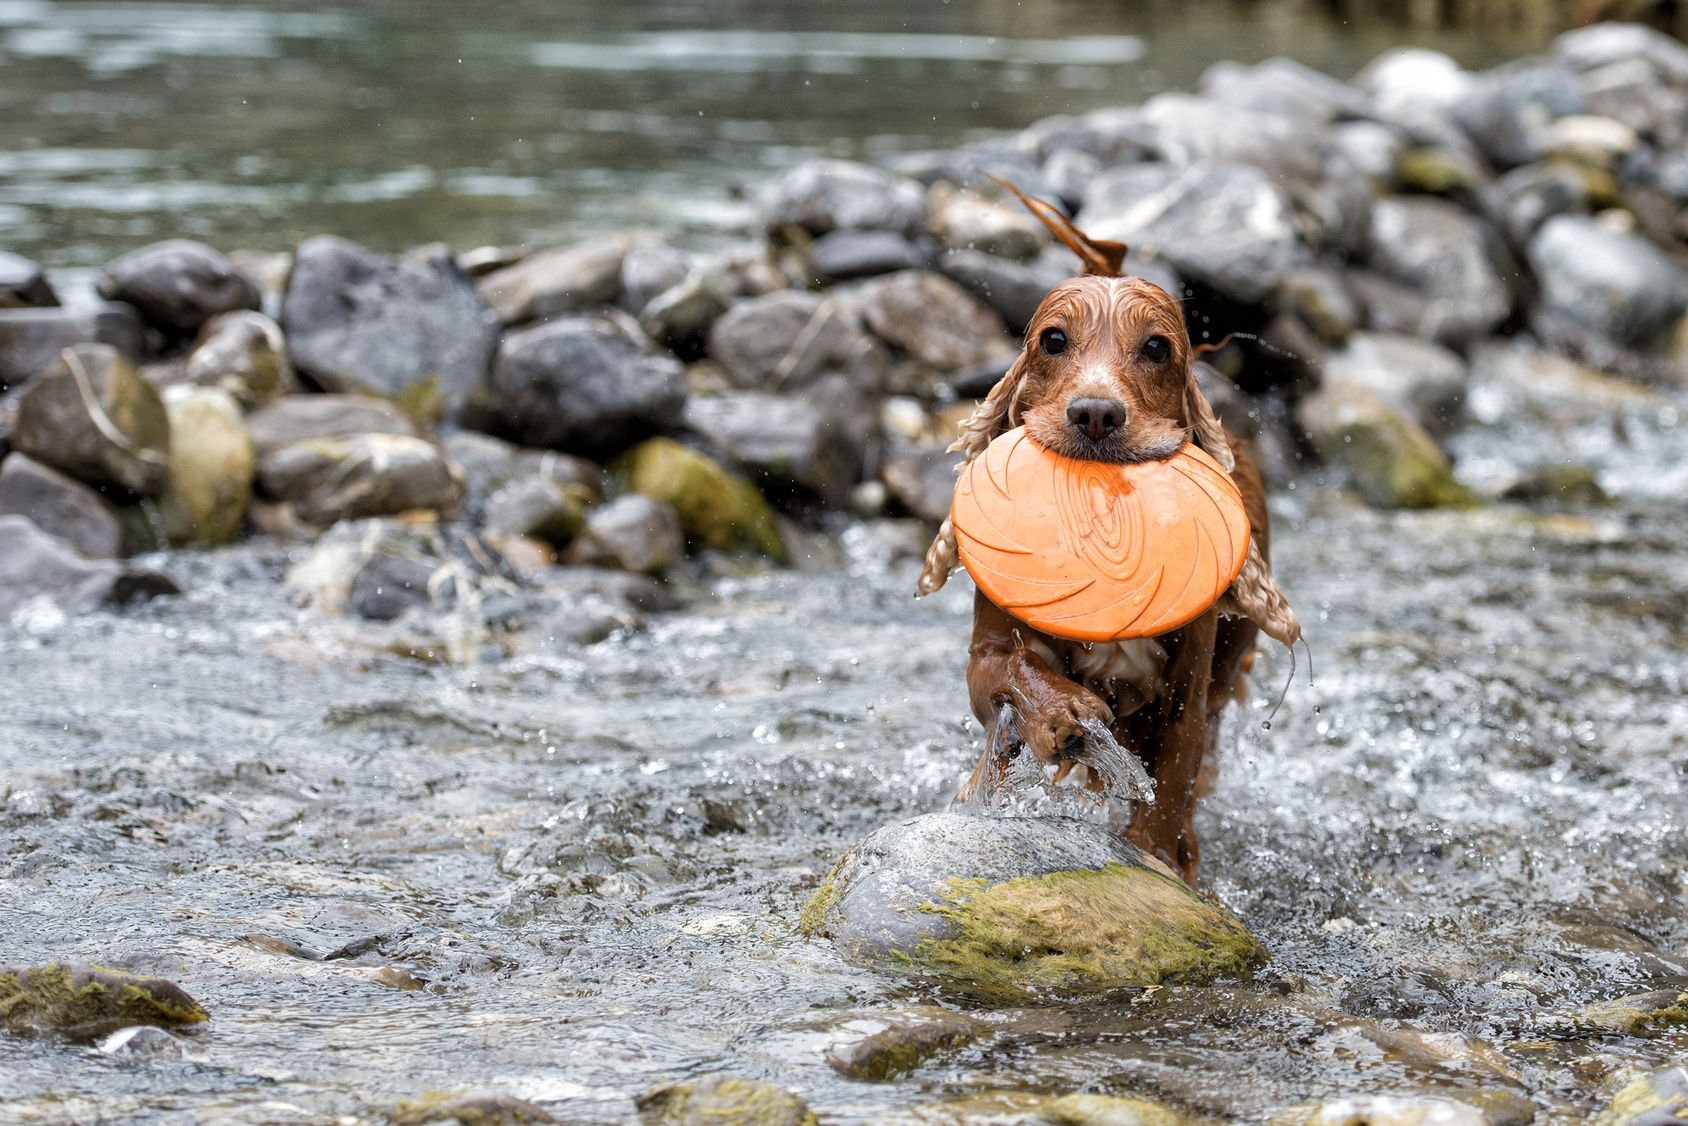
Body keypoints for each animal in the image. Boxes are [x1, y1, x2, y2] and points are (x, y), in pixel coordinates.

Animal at [918, 184, 1296, 884]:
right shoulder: (987, 650)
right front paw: (1062, 714)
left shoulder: (1188, 689)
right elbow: (1009, 668)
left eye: (1157, 348)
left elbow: (1172, 780)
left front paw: (1159, 857)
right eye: (1053, 339)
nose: (1095, 413)